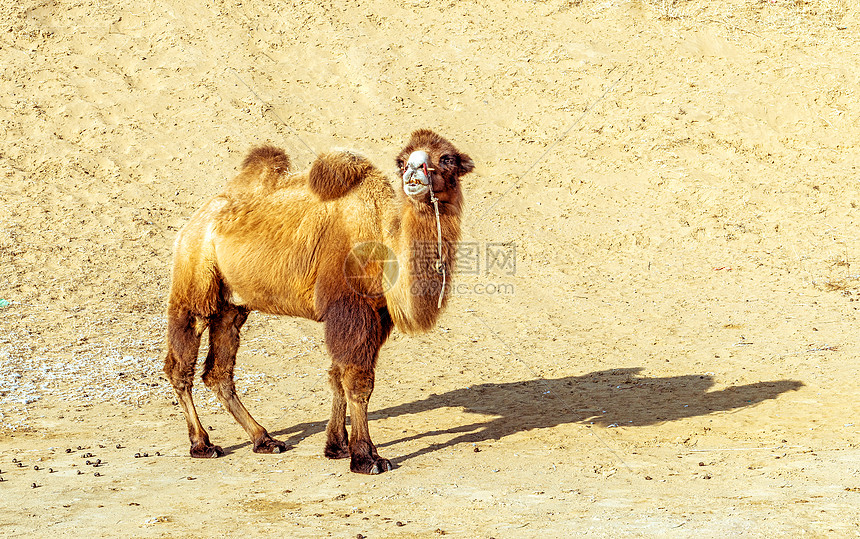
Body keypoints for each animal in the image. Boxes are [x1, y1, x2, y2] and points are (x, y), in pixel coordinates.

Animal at [164, 130, 474, 472]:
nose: (414, 172)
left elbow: (338, 376)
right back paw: (202, 444)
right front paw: (366, 457)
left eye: (446, 158)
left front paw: (337, 446)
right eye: (403, 161)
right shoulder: (350, 309)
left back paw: (264, 439)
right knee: (181, 363)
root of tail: (195, 220)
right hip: (194, 275)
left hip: (232, 306)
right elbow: (357, 382)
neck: (382, 238)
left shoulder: (376, 317)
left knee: (218, 371)